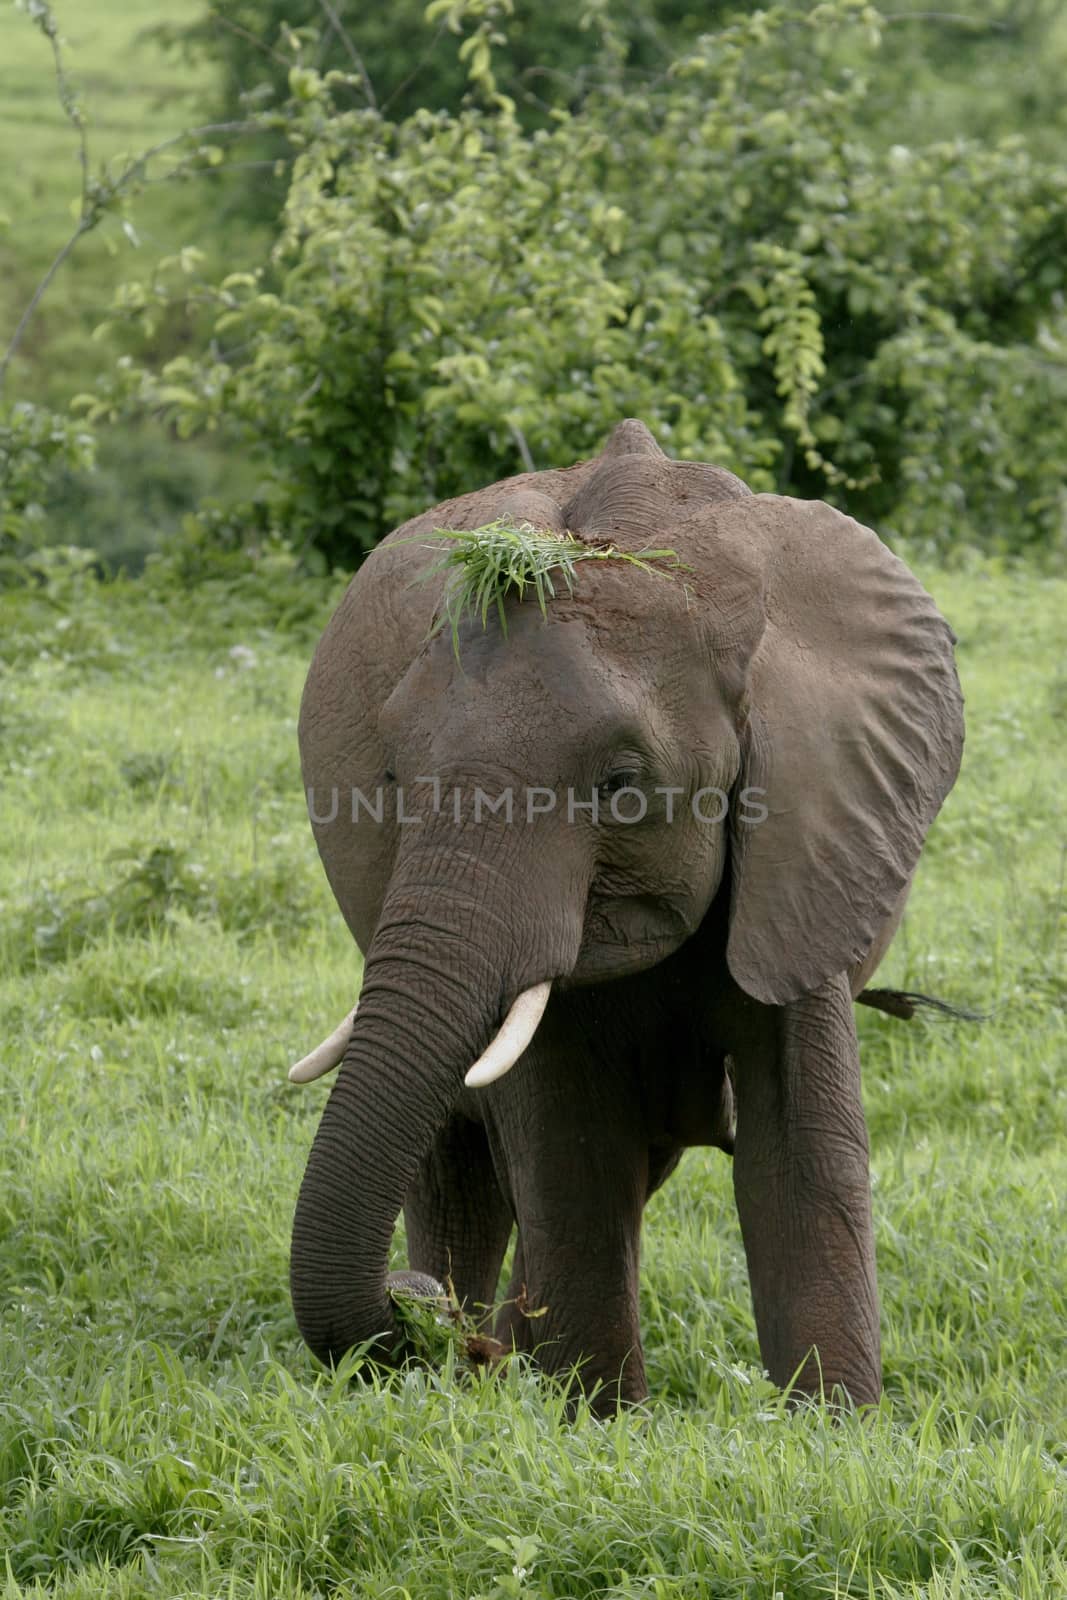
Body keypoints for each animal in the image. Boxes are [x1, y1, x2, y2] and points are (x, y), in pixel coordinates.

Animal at [287, 416, 966, 1414]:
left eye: (620, 785)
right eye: (389, 778)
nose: (419, 1318)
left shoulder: (810, 843)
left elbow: (801, 1154)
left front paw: (833, 1428)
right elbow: (573, 1156)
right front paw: (598, 1421)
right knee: (461, 1163)